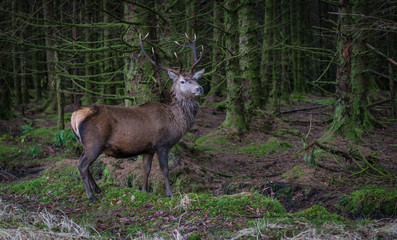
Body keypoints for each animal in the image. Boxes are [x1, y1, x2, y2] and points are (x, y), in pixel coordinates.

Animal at [71, 33, 204, 201]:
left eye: (196, 79)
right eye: (183, 81)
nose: (200, 88)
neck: (174, 119)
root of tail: (75, 115)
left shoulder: (148, 148)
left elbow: (146, 169)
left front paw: (144, 189)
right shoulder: (161, 143)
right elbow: (165, 170)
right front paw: (170, 193)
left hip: (86, 144)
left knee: (84, 164)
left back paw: (97, 189)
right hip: (94, 142)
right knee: (82, 164)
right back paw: (91, 195)